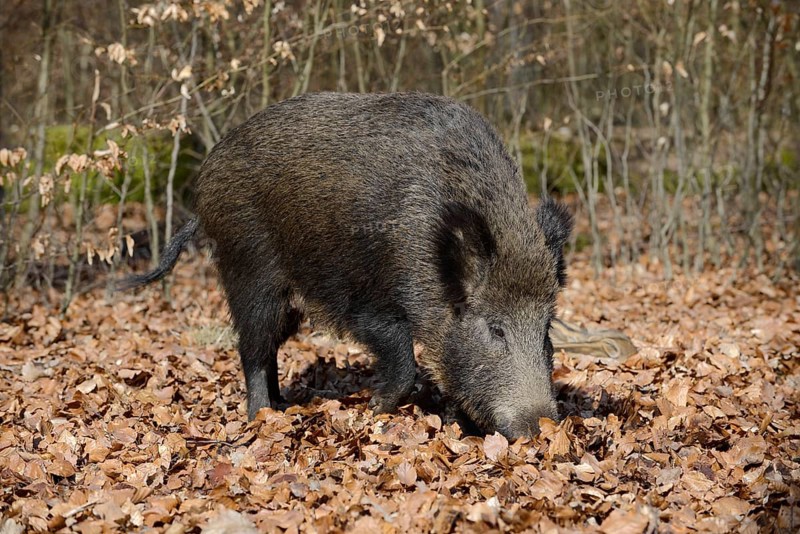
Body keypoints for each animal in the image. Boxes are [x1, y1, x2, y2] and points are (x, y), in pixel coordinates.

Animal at [120, 92, 573, 438]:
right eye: (495, 329)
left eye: (546, 328)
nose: (543, 427)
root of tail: (202, 191)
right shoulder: (368, 304)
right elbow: (403, 363)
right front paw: (375, 409)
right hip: (249, 273)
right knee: (252, 348)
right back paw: (261, 416)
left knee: (270, 349)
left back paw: (283, 404)